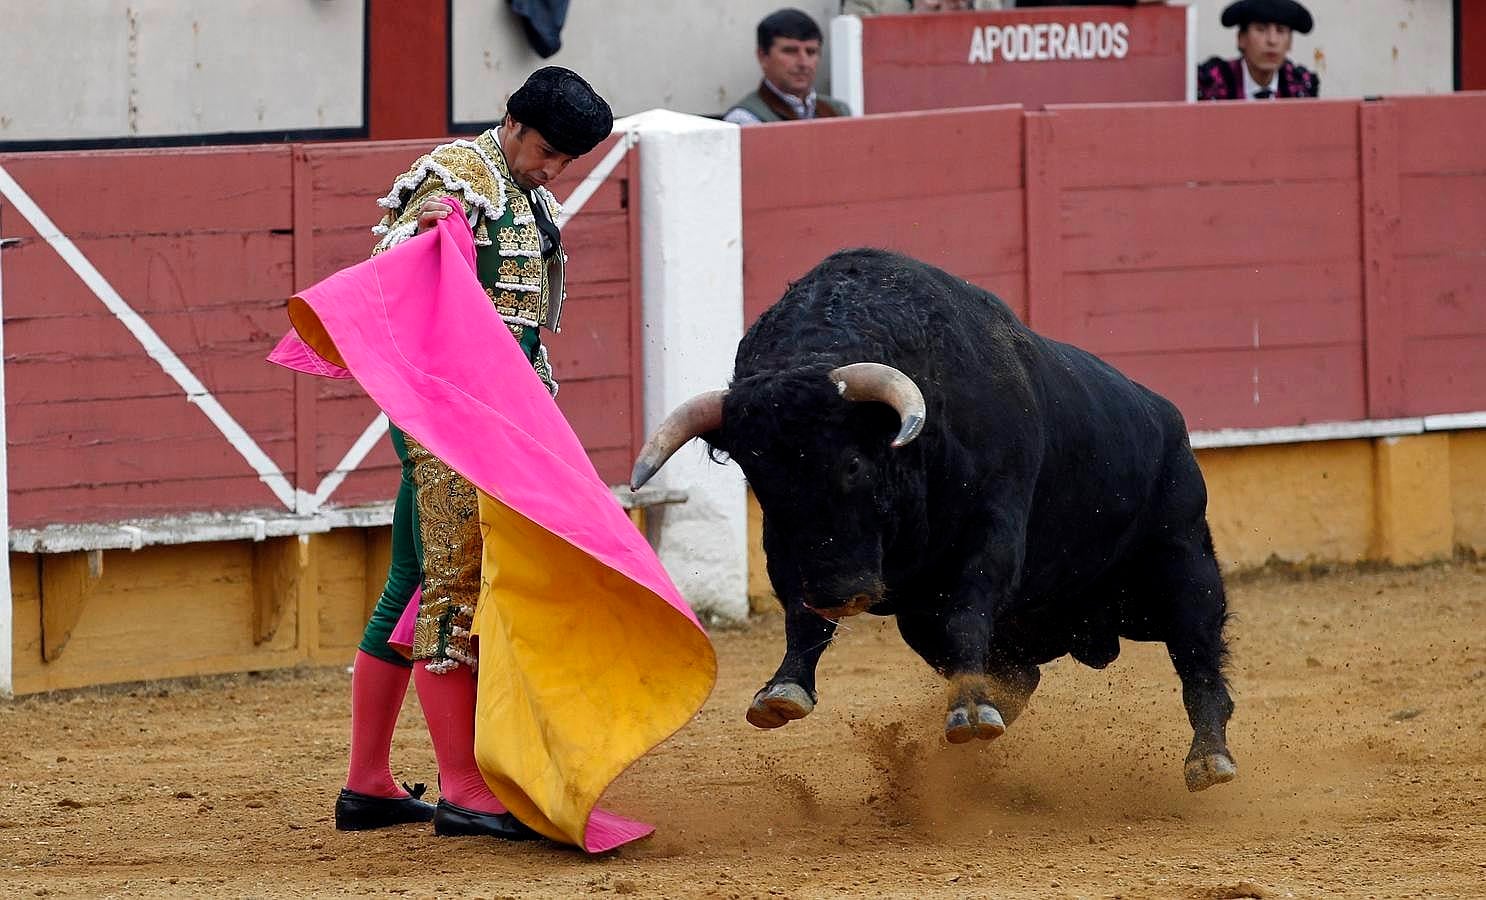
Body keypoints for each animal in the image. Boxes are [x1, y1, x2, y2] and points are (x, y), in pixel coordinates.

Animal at [633, 250, 1236, 796]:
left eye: (853, 463)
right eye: (759, 477)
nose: (840, 594)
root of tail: (1169, 420)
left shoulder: (990, 535)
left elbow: (969, 609)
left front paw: (968, 711)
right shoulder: (789, 550)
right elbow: (802, 617)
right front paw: (782, 692)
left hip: (1182, 565)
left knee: (1198, 656)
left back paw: (1209, 759)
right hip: (929, 620)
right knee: (1022, 674)